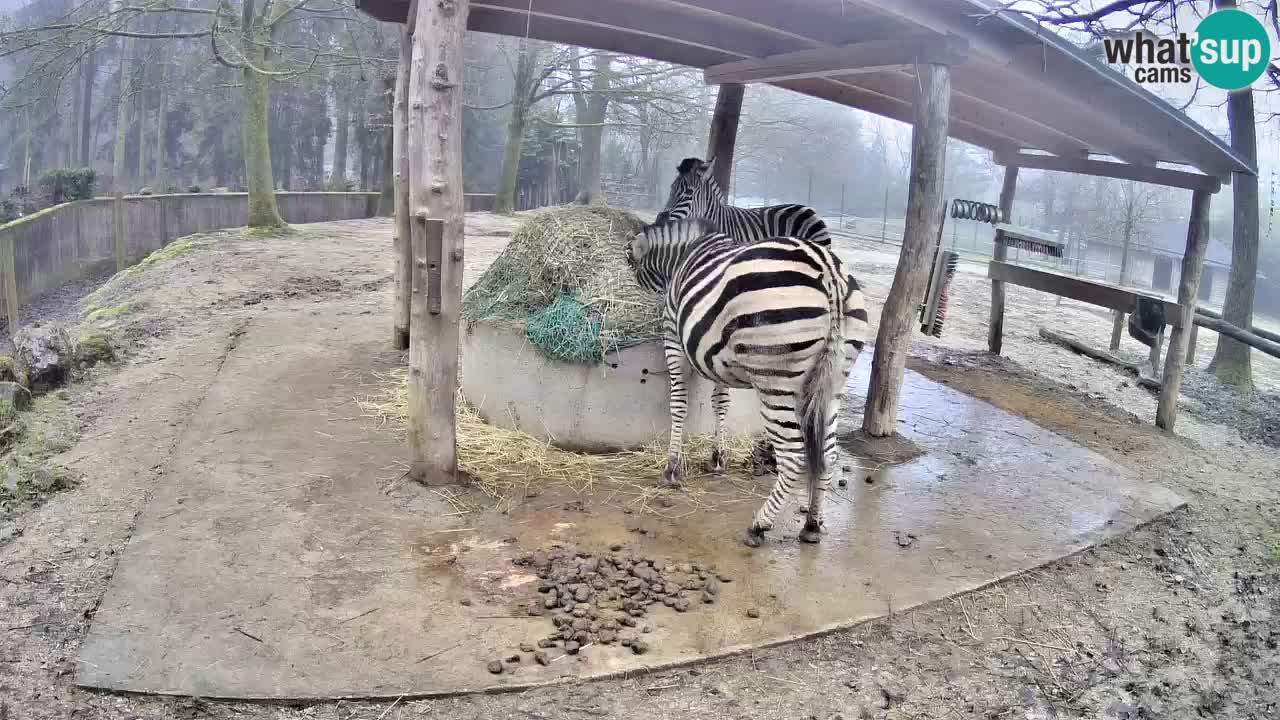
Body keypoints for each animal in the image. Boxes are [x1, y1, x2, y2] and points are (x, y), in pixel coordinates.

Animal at [624, 218, 869, 547]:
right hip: (834, 381)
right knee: (827, 453)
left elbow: (679, 403)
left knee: (793, 455)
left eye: (629, 263)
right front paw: (717, 459)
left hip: (774, 379)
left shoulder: (672, 334)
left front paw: (671, 468)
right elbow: (720, 403)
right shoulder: (717, 356)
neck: (682, 255)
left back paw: (759, 526)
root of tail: (828, 270)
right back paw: (812, 525)